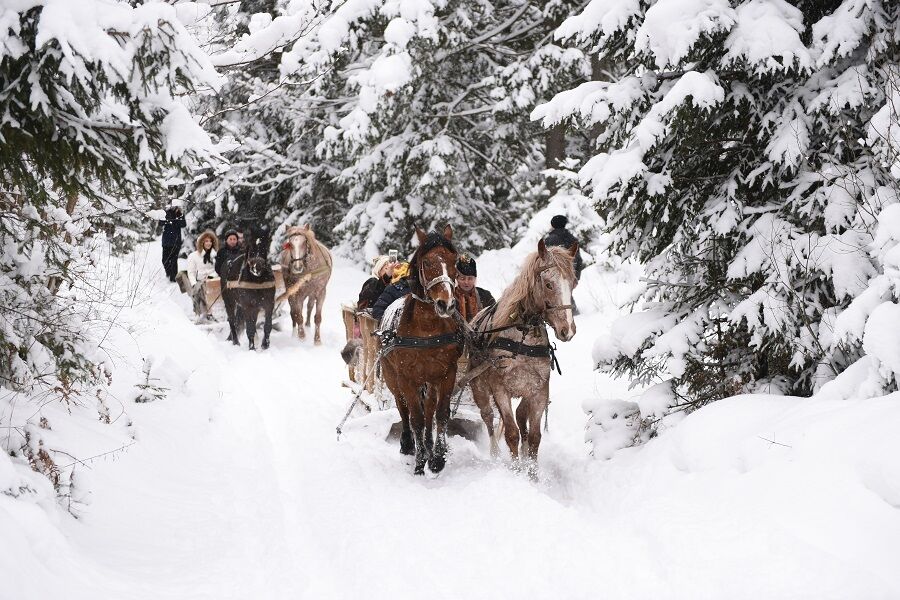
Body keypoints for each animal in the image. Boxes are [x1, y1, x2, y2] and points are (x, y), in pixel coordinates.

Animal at [382, 224, 464, 474]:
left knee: (428, 410)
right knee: (403, 408)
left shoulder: (447, 373)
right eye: (427, 262)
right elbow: (415, 417)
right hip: (392, 378)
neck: (427, 330)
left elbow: (440, 414)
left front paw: (437, 457)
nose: (446, 304)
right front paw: (419, 461)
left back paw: (427, 445)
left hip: (430, 379)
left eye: (455, 261)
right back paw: (409, 444)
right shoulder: (407, 378)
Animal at [468, 239, 580, 474]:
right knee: (488, 417)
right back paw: (495, 454)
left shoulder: (539, 389)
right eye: (548, 284)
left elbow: (535, 435)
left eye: (573, 283)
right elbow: (511, 432)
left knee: (520, 415)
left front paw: (532, 473)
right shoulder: (500, 389)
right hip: (479, 387)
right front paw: (516, 470)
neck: (523, 336)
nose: (567, 330)